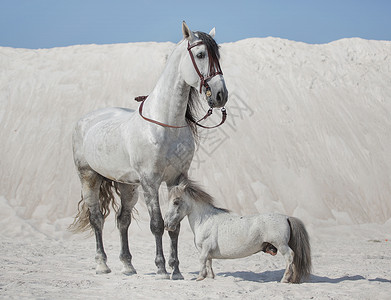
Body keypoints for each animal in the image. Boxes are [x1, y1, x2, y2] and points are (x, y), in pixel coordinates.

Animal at [70, 22, 228, 280]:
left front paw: (176, 271)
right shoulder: (150, 181)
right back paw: (102, 264)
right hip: (89, 178)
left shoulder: (176, 179)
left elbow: (174, 225)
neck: (165, 124)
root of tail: (85, 120)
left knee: (122, 220)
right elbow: (157, 224)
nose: (220, 95)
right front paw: (162, 268)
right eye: (200, 54)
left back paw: (127, 266)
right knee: (96, 219)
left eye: (218, 56)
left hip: (128, 186)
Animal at [164, 175, 310, 282]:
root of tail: (286, 217)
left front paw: (200, 277)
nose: (167, 225)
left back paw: (284, 279)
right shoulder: (208, 252)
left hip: (281, 245)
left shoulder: (205, 249)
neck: (205, 220)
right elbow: (209, 263)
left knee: (290, 257)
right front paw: (210, 277)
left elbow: (202, 261)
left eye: (176, 202)